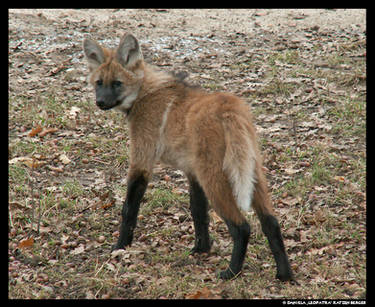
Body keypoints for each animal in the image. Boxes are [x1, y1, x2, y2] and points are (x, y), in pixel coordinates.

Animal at [83, 33, 294, 282]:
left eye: (117, 83)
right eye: (99, 83)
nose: (100, 102)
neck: (145, 93)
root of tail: (229, 106)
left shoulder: (141, 162)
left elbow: (128, 211)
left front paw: (120, 247)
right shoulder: (192, 173)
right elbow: (198, 213)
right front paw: (201, 249)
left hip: (215, 180)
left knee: (242, 227)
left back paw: (231, 272)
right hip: (250, 173)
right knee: (271, 223)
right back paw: (284, 274)